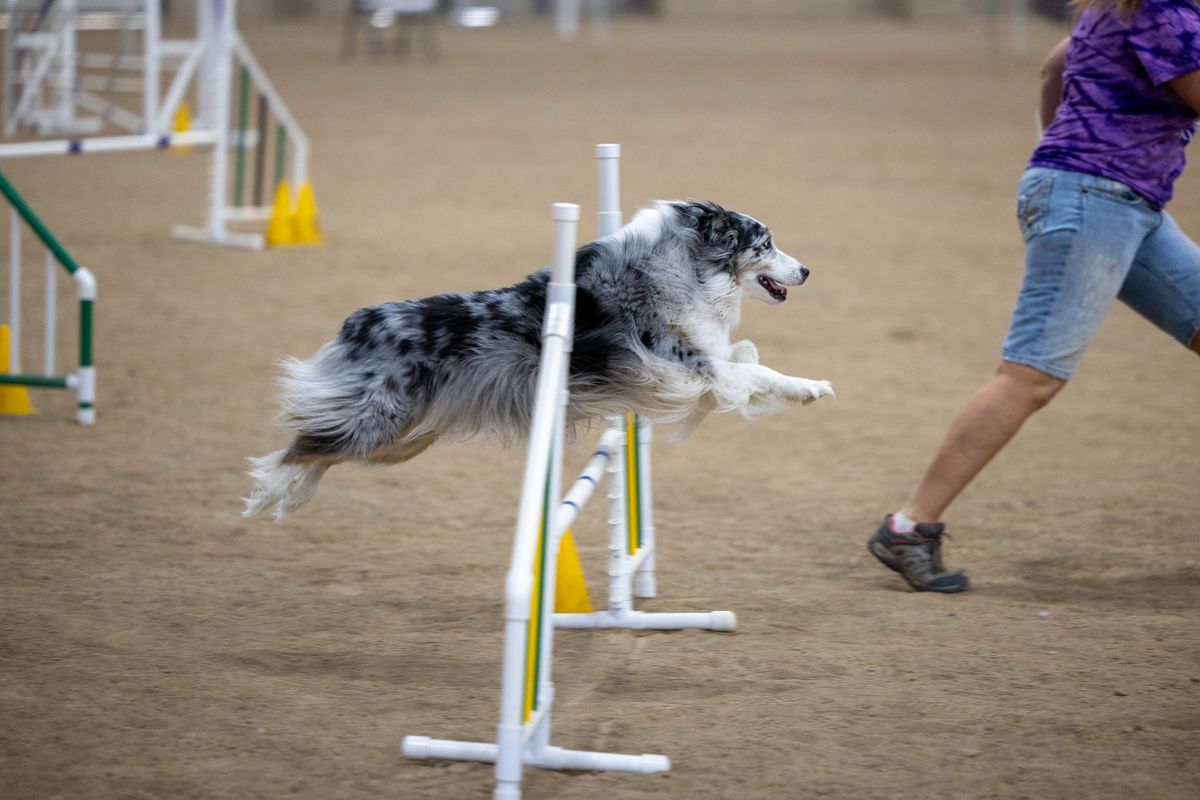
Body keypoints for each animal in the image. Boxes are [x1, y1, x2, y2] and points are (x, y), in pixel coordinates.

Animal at [243, 201, 835, 520]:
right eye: (765, 242)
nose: (808, 270)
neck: (684, 266)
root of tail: (357, 322)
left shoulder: (690, 364)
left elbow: (745, 359)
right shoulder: (677, 363)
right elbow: (753, 369)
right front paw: (810, 388)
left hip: (403, 438)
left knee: (318, 447)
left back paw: (291, 499)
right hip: (380, 420)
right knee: (300, 446)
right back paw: (266, 493)